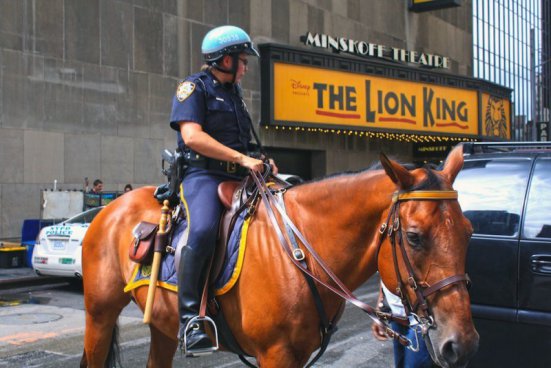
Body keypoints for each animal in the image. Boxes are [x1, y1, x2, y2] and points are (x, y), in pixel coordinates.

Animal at [81, 144, 478, 368]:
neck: (301, 249)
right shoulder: (276, 355)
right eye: (413, 237)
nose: (461, 344)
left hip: (163, 324)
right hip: (99, 315)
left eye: (468, 231)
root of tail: (109, 207)